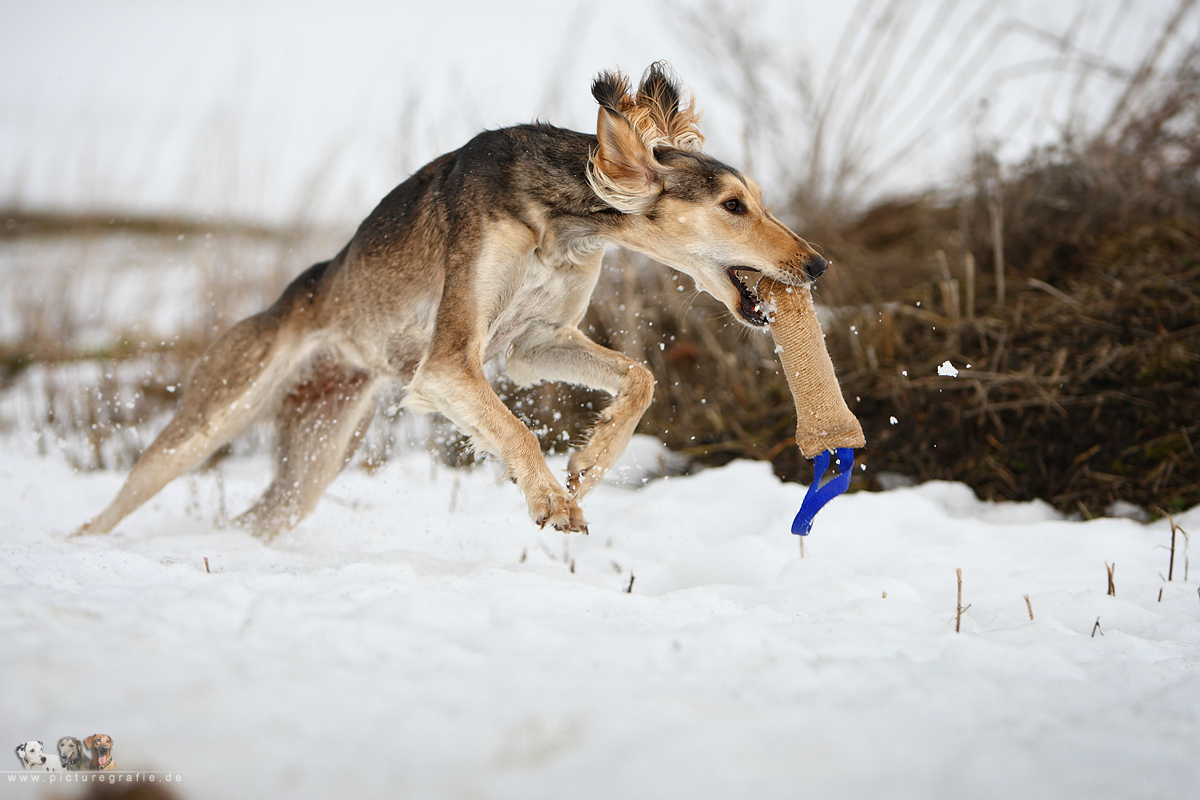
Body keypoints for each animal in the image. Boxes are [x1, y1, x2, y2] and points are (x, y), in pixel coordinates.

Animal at [75, 61, 825, 537]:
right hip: (209, 419)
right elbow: (516, 428)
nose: (817, 265)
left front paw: (591, 461)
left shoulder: (531, 344)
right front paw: (553, 502)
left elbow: (639, 378)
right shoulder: (447, 364)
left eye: (756, 201)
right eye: (733, 206)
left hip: (314, 458)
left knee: (258, 517)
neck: (556, 220)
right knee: (113, 507)